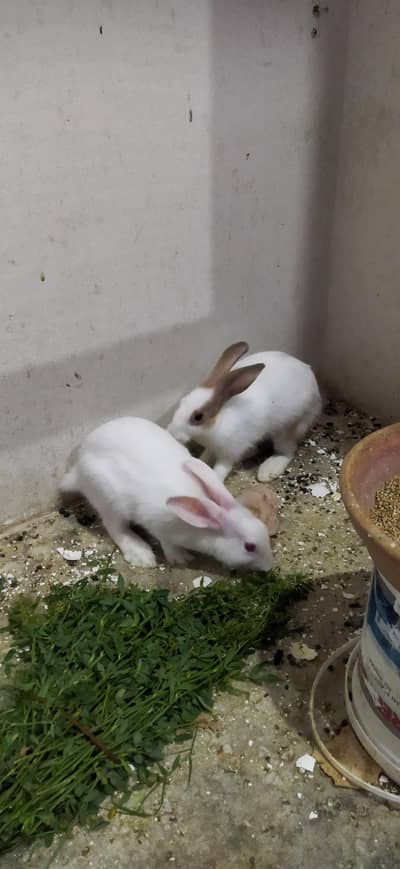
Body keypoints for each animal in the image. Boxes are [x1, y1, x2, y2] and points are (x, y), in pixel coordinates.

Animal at [60, 417, 273, 572]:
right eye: (249, 547)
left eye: (263, 528)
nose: (269, 567)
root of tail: (77, 472)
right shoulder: (159, 525)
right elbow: (166, 542)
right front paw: (181, 558)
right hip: (110, 499)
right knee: (116, 528)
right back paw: (141, 554)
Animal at [167, 341, 322, 483]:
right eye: (182, 401)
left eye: (198, 417)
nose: (171, 432)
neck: (219, 421)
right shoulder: (212, 448)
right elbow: (205, 457)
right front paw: (200, 463)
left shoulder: (230, 452)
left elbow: (221, 469)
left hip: (285, 430)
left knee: (288, 452)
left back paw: (268, 470)